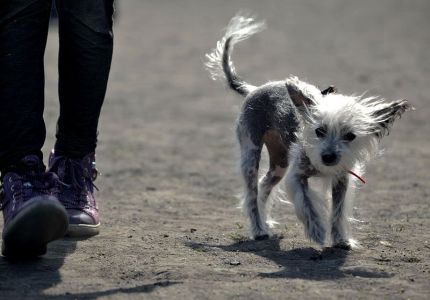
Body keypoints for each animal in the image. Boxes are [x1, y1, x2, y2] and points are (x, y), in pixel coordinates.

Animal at [207, 14, 412, 248]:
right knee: (251, 193)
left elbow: (338, 211)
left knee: (264, 185)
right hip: (251, 155)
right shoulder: (296, 176)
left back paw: (265, 221)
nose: (328, 157)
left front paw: (341, 239)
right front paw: (316, 231)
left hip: (279, 164)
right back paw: (259, 229)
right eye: (319, 131)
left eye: (350, 136)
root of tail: (255, 89)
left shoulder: (342, 179)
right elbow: (307, 204)